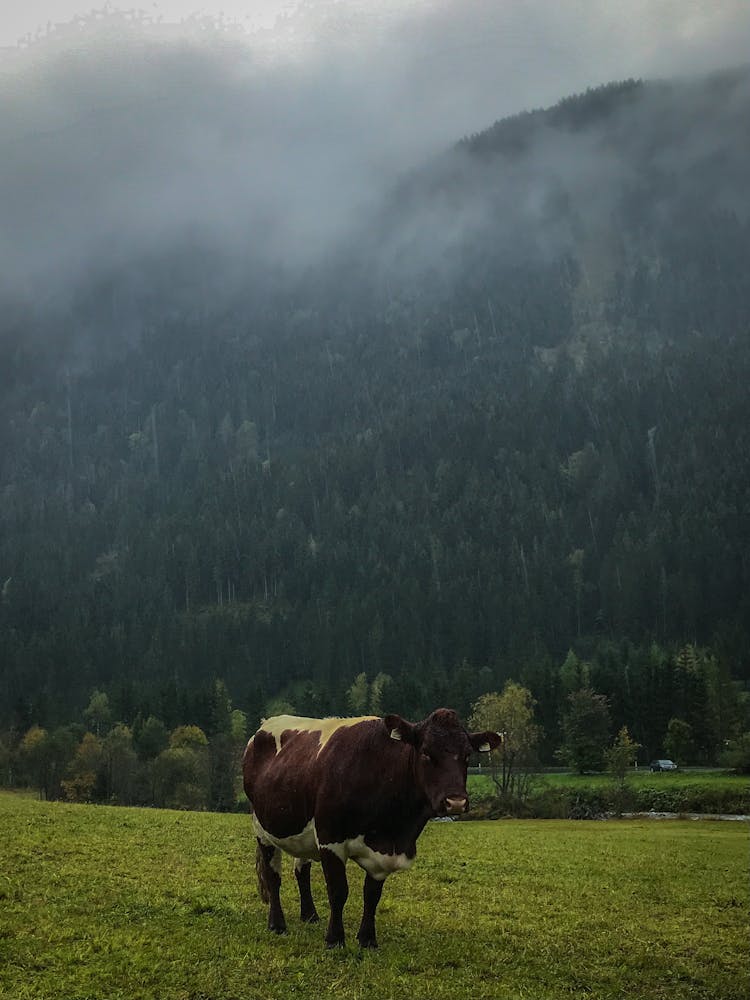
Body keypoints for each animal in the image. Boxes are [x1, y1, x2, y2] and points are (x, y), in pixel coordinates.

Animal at [244, 708, 502, 948]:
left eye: (467, 755)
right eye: (426, 752)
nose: (455, 802)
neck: (395, 831)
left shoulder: (383, 854)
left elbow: (372, 895)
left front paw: (367, 939)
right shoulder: (330, 838)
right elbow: (338, 892)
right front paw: (335, 939)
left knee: (301, 870)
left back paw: (309, 915)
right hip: (262, 828)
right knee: (272, 876)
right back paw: (277, 924)